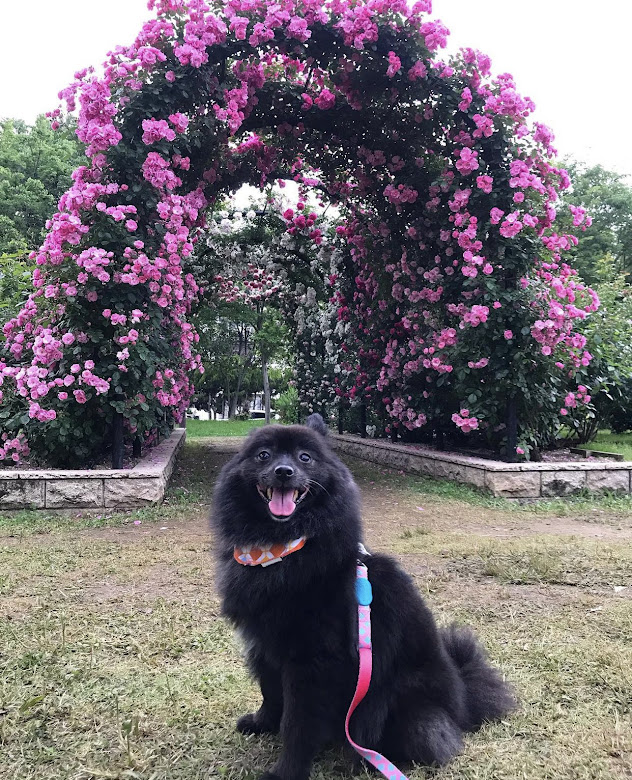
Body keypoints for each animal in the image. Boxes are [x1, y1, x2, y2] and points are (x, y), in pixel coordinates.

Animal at [211, 414, 512, 780]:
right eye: (263, 455)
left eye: (305, 458)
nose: (284, 471)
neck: (280, 548)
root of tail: (464, 704)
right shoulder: (265, 647)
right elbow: (270, 693)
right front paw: (262, 723)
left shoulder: (310, 663)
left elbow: (297, 724)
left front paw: (285, 772)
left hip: (398, 701)